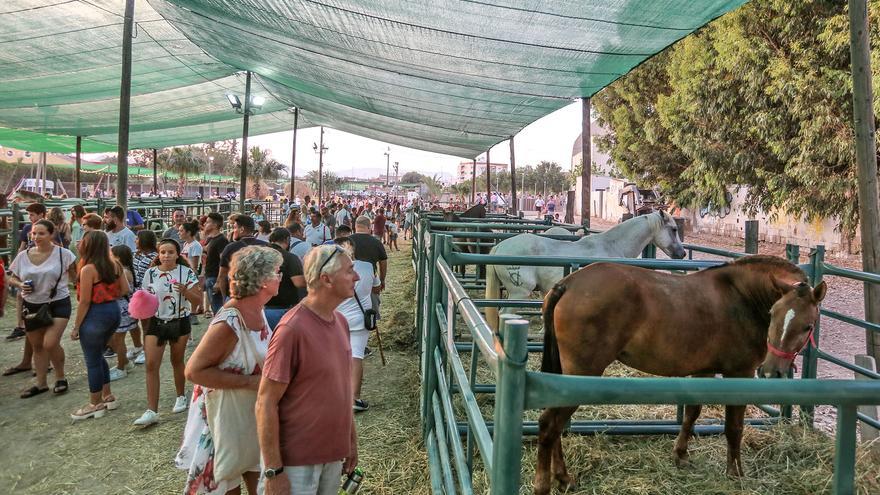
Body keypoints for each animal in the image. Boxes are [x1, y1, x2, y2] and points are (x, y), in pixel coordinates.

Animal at [532, 258, 828, 494]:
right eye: (772, 314)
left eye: (807, 325)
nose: (770, 371)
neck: (741, 297)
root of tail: (567, 284)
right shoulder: (739, 374)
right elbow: (734, 428)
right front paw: (735, 473)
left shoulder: (703, 371)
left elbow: (692, 413)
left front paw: (681, 455)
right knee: (549, 424)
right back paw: (545, 484)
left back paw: (563, 478)